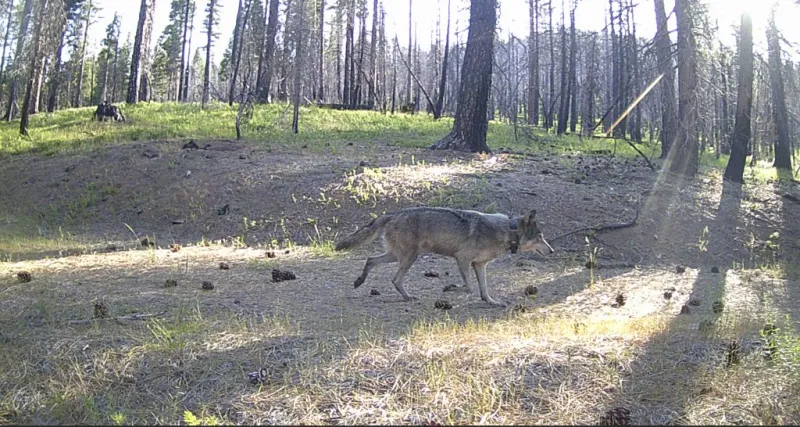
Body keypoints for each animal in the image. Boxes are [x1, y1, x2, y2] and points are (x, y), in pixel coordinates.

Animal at [335, 207, 554, 307]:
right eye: (540, 237)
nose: (552, 251)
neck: (508, 231)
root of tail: (393, 213)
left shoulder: (479, 265)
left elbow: (483, 289)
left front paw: (492, 302)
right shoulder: (463, 259)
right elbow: (469, 287)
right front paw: (449, 288)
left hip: (398, 256)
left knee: (371, 260)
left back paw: (359, 281)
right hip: (409, 257)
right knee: (394, 279)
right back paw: (408, 297)